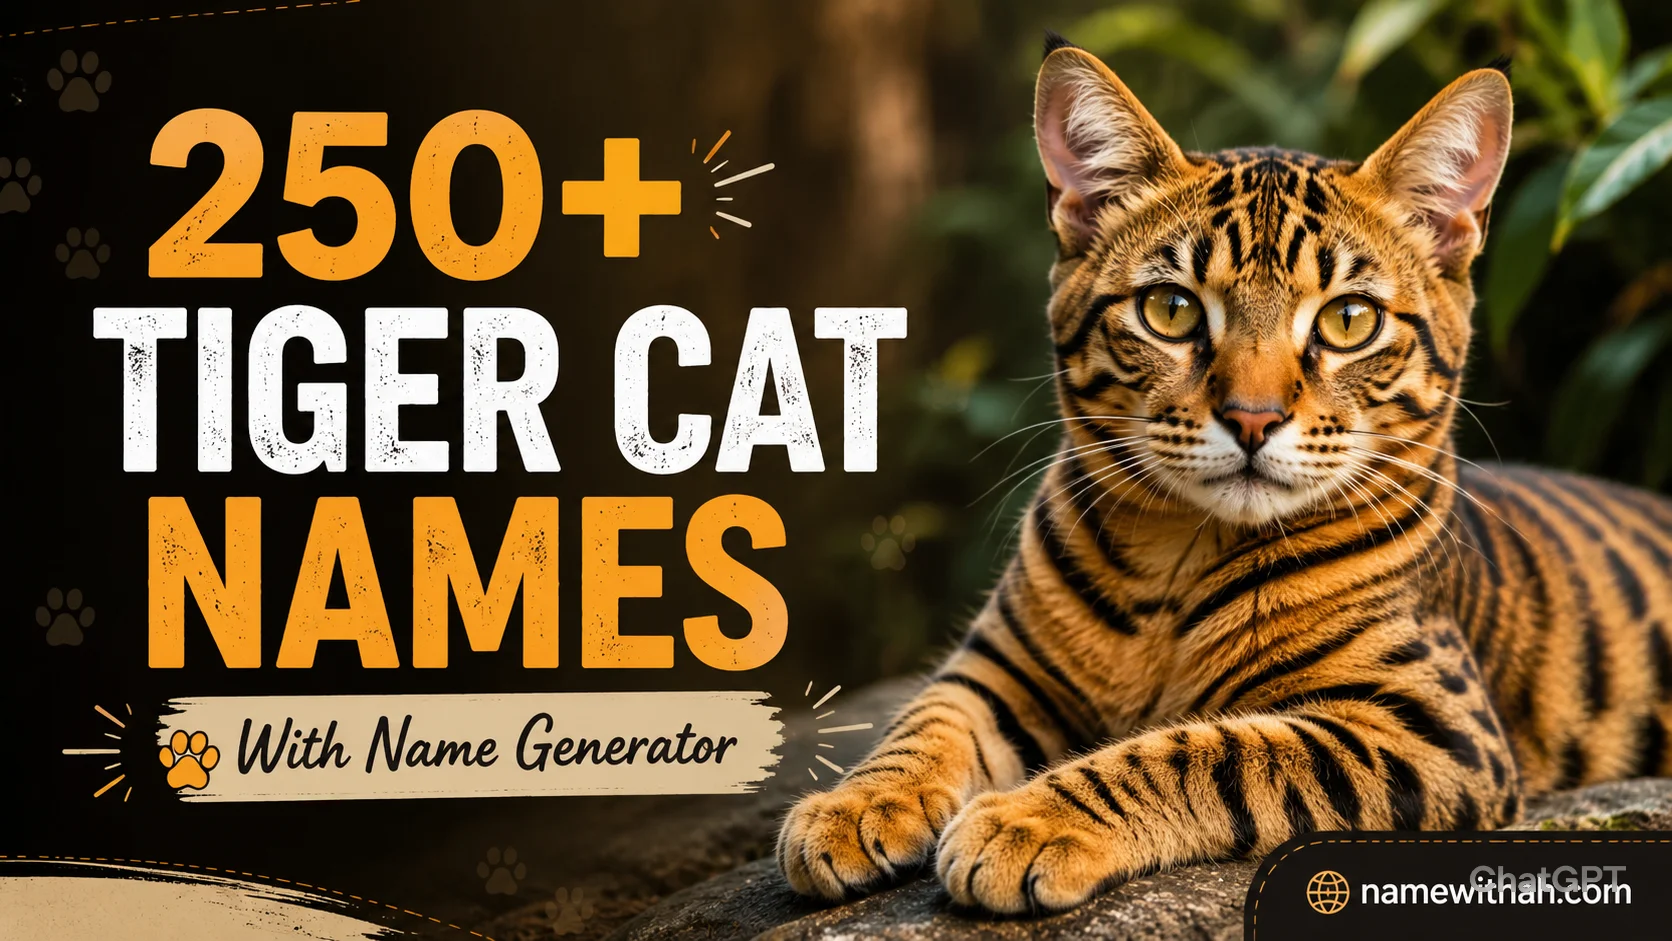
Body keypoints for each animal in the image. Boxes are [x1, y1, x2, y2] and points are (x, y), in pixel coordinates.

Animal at [776, 34, 1672, 915]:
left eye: (1350, 320)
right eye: (1170, 310)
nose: (1251, 417)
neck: (1176, 561)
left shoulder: (1431, 727)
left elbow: (1206, 750)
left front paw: (1027, 820)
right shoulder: (998, 668)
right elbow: (925, 720)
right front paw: (852, 806)